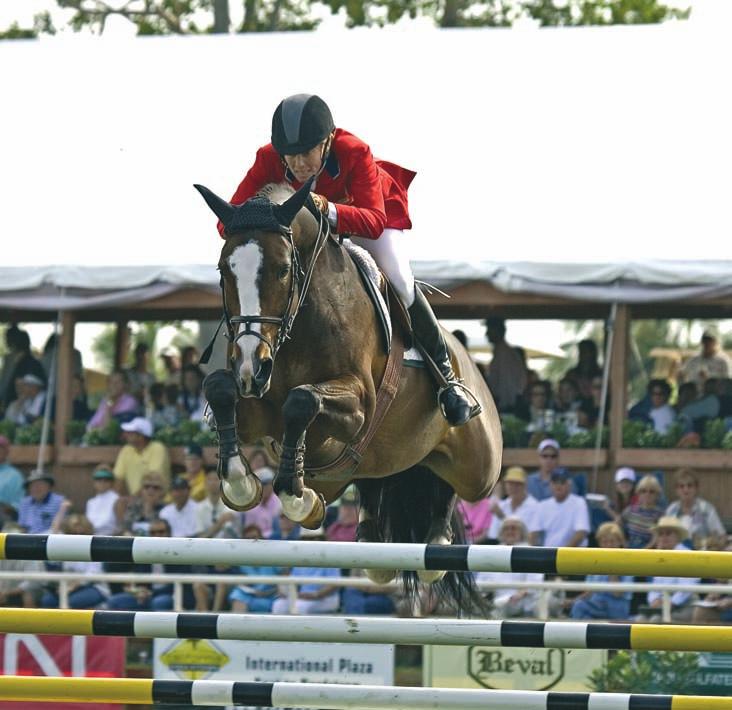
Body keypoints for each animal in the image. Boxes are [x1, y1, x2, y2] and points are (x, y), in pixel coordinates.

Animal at [194, 181, 504, 608]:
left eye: (283, 269)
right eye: (224, 270)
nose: (251, 367)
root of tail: (469, 362)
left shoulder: (357, 408)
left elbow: (302, 401)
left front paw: (296, 497)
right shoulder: (256, 403)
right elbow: (221, 389)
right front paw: (242, 483)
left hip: (480, 469)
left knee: (456, 486)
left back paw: (438, 539)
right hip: (376, 463)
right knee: (374, 481)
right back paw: (374, 542)